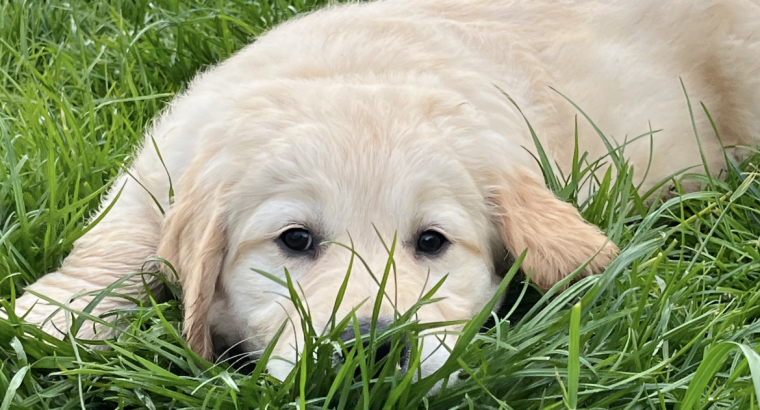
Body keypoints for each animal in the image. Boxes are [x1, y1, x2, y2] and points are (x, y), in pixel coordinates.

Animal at [7, 0, 760, 382]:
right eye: (294, 239)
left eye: (432, 241)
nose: (371, 347)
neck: (358, 70)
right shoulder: (165, 163)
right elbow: (119, 240)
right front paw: (53, 317)